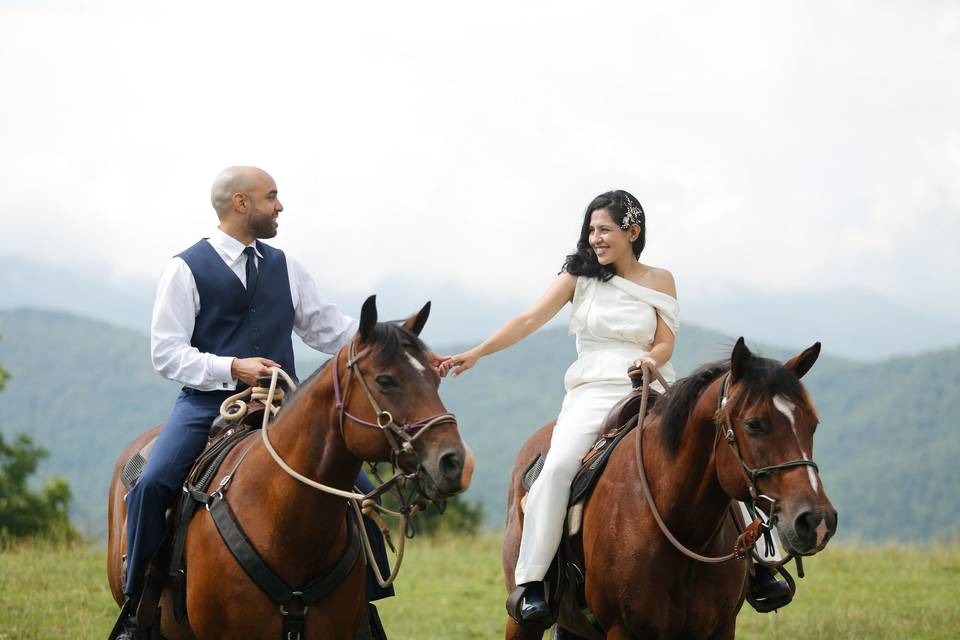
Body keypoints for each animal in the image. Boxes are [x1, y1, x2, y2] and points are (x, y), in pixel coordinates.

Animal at [502, 338, 840, 636]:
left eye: (812, 424)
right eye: (754, 424)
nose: (817, 520)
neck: (679, 528)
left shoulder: (721, 628)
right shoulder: (623, 630)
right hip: (522, 623)